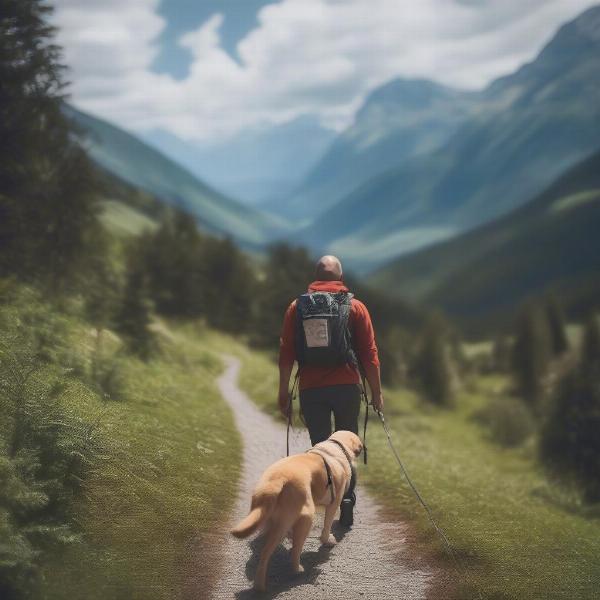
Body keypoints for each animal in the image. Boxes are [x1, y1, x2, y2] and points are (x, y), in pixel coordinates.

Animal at [232, 432, 364, 592]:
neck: (335, 447)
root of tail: (277, 480)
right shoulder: (334, 503)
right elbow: (327, 527)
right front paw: (328, 540)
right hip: (305, 518)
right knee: (291, 550)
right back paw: (297, 569)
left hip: (267, 515)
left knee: (265, 551)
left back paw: (259, 585)